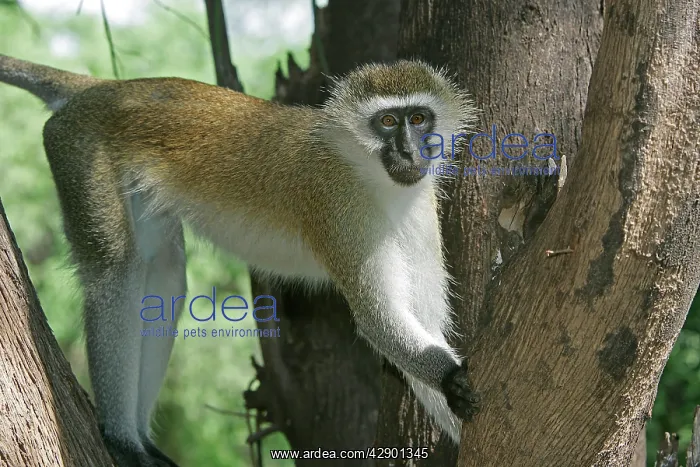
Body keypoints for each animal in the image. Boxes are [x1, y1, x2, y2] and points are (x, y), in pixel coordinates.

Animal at [0, 54, 480, 466]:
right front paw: (451, 377)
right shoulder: (340, 207)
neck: (369, 174)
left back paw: (140, 439)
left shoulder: (420, 211)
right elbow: (378, 319)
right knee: (117, 269)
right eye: (387, 121)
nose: (410, 151)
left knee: (163, 272)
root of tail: (109, 89)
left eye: (418, 119)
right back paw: (122, 441)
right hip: (80, 150)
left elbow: (422, 321)